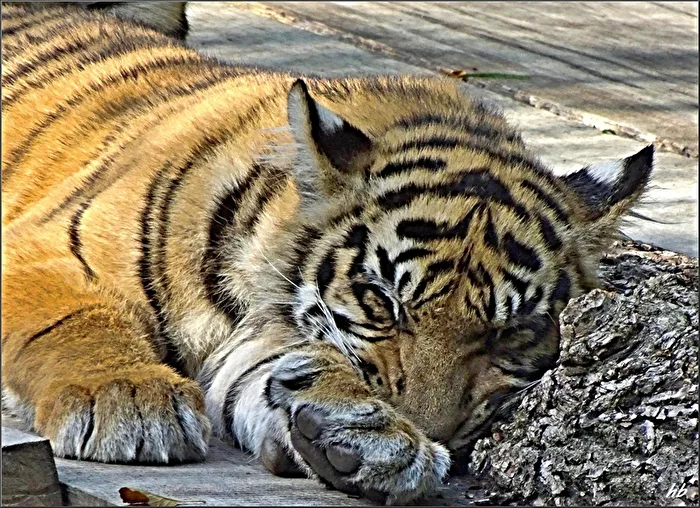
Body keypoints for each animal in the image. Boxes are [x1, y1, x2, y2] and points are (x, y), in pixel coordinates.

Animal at [1, 2, 653, 504]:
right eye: (383, 303)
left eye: (510, 334)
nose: (435, 431)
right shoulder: (43, 247)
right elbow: (80, 317)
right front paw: (131, 400)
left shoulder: (258, 338)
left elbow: (275, 371)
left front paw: (367, 437)